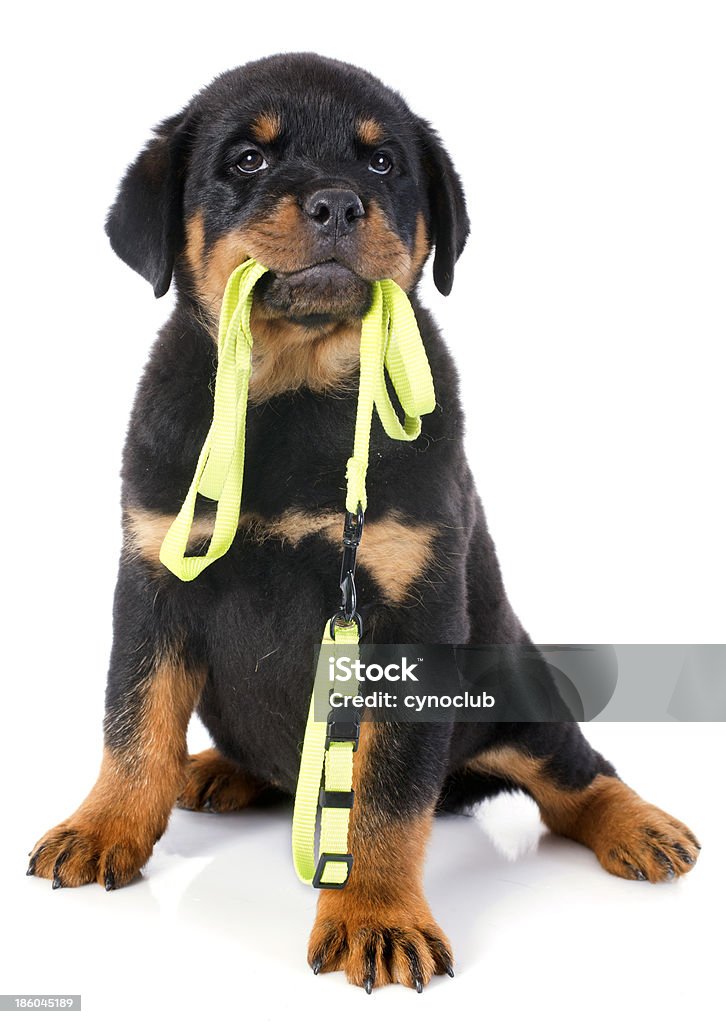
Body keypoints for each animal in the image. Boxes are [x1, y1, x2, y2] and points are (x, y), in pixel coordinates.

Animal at [25, 54, 700, 991]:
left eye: (382, 164)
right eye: (246, 160)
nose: (339, 203)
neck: (296, 391)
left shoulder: (406, 618)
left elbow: (385, 792)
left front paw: (376, 916)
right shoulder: (155, 576)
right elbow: (135, 720)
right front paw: (105, 826)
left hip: (516, 685)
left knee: (573, 772)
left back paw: (639, 825)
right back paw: (216, 771)